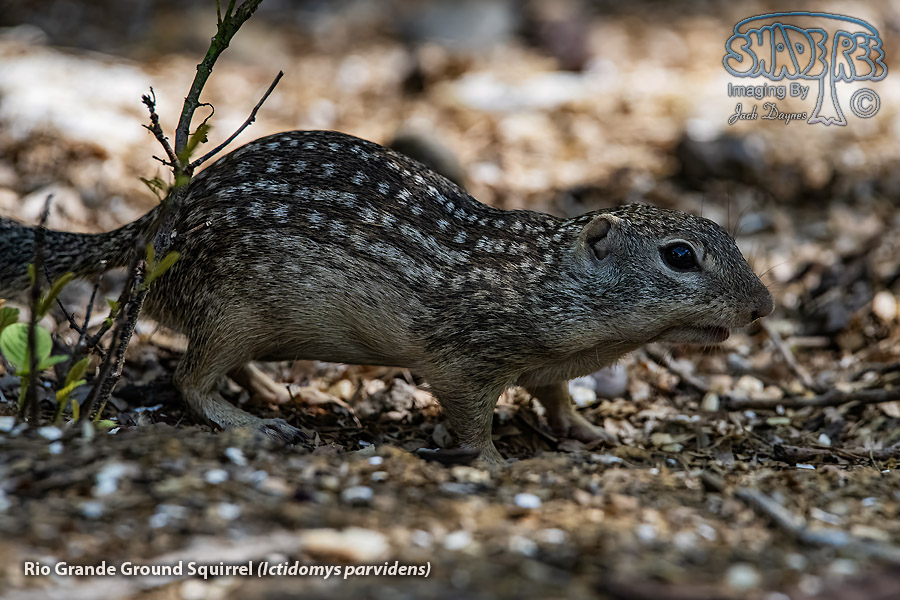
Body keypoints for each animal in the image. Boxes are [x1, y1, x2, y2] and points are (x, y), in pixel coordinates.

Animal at [0, 130, 773, 463]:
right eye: (680, 257)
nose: (763, 306)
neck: (550, 282)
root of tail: (149, 227)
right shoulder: (464, 361)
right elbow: (470, 416)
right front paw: (492, 461)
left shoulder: (551, 367)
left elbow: (557, 399)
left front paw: (588, 432)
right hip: (229, 313)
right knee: (189, 379)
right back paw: (256, 423)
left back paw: (271, 392)